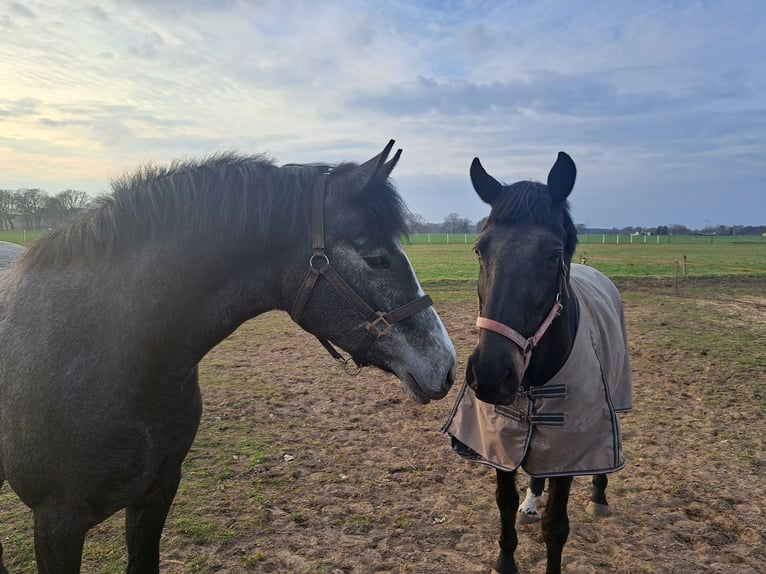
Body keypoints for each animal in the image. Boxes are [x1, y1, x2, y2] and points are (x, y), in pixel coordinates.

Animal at [444, 153, 632, 574]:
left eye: (552, 254)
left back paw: (599, 496)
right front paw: (505, 558)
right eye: (479, 249)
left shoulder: (570, 449)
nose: (490, 374)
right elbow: (505, 502)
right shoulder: (499, 439)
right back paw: (533, 500)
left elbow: (556, 526)